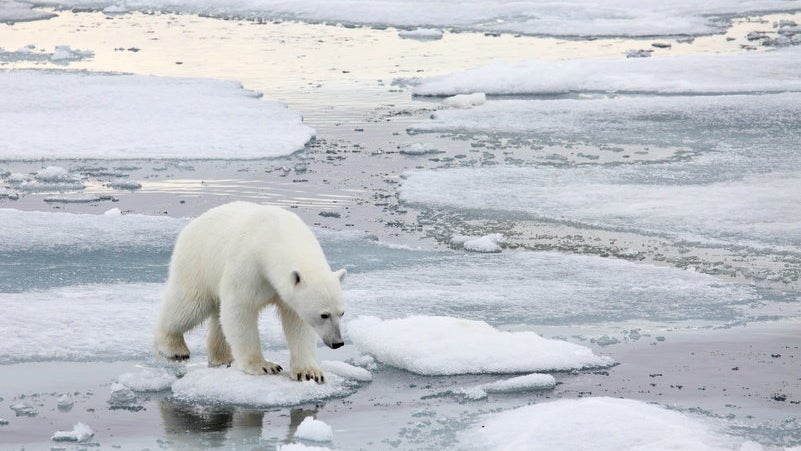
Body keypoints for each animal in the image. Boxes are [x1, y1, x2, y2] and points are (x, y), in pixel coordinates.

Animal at [155, 203, 346, 384]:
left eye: (342, 313)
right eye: (324, 315)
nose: (338, 343)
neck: (277, 236)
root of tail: (192, 224)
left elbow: (297, 322)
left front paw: (309, 373)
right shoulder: (249, 264)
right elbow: (240, 309)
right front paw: (264, 366)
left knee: (218, 317)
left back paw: (222, 357)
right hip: (198, 262)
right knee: (189, 306)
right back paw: (173, 348)